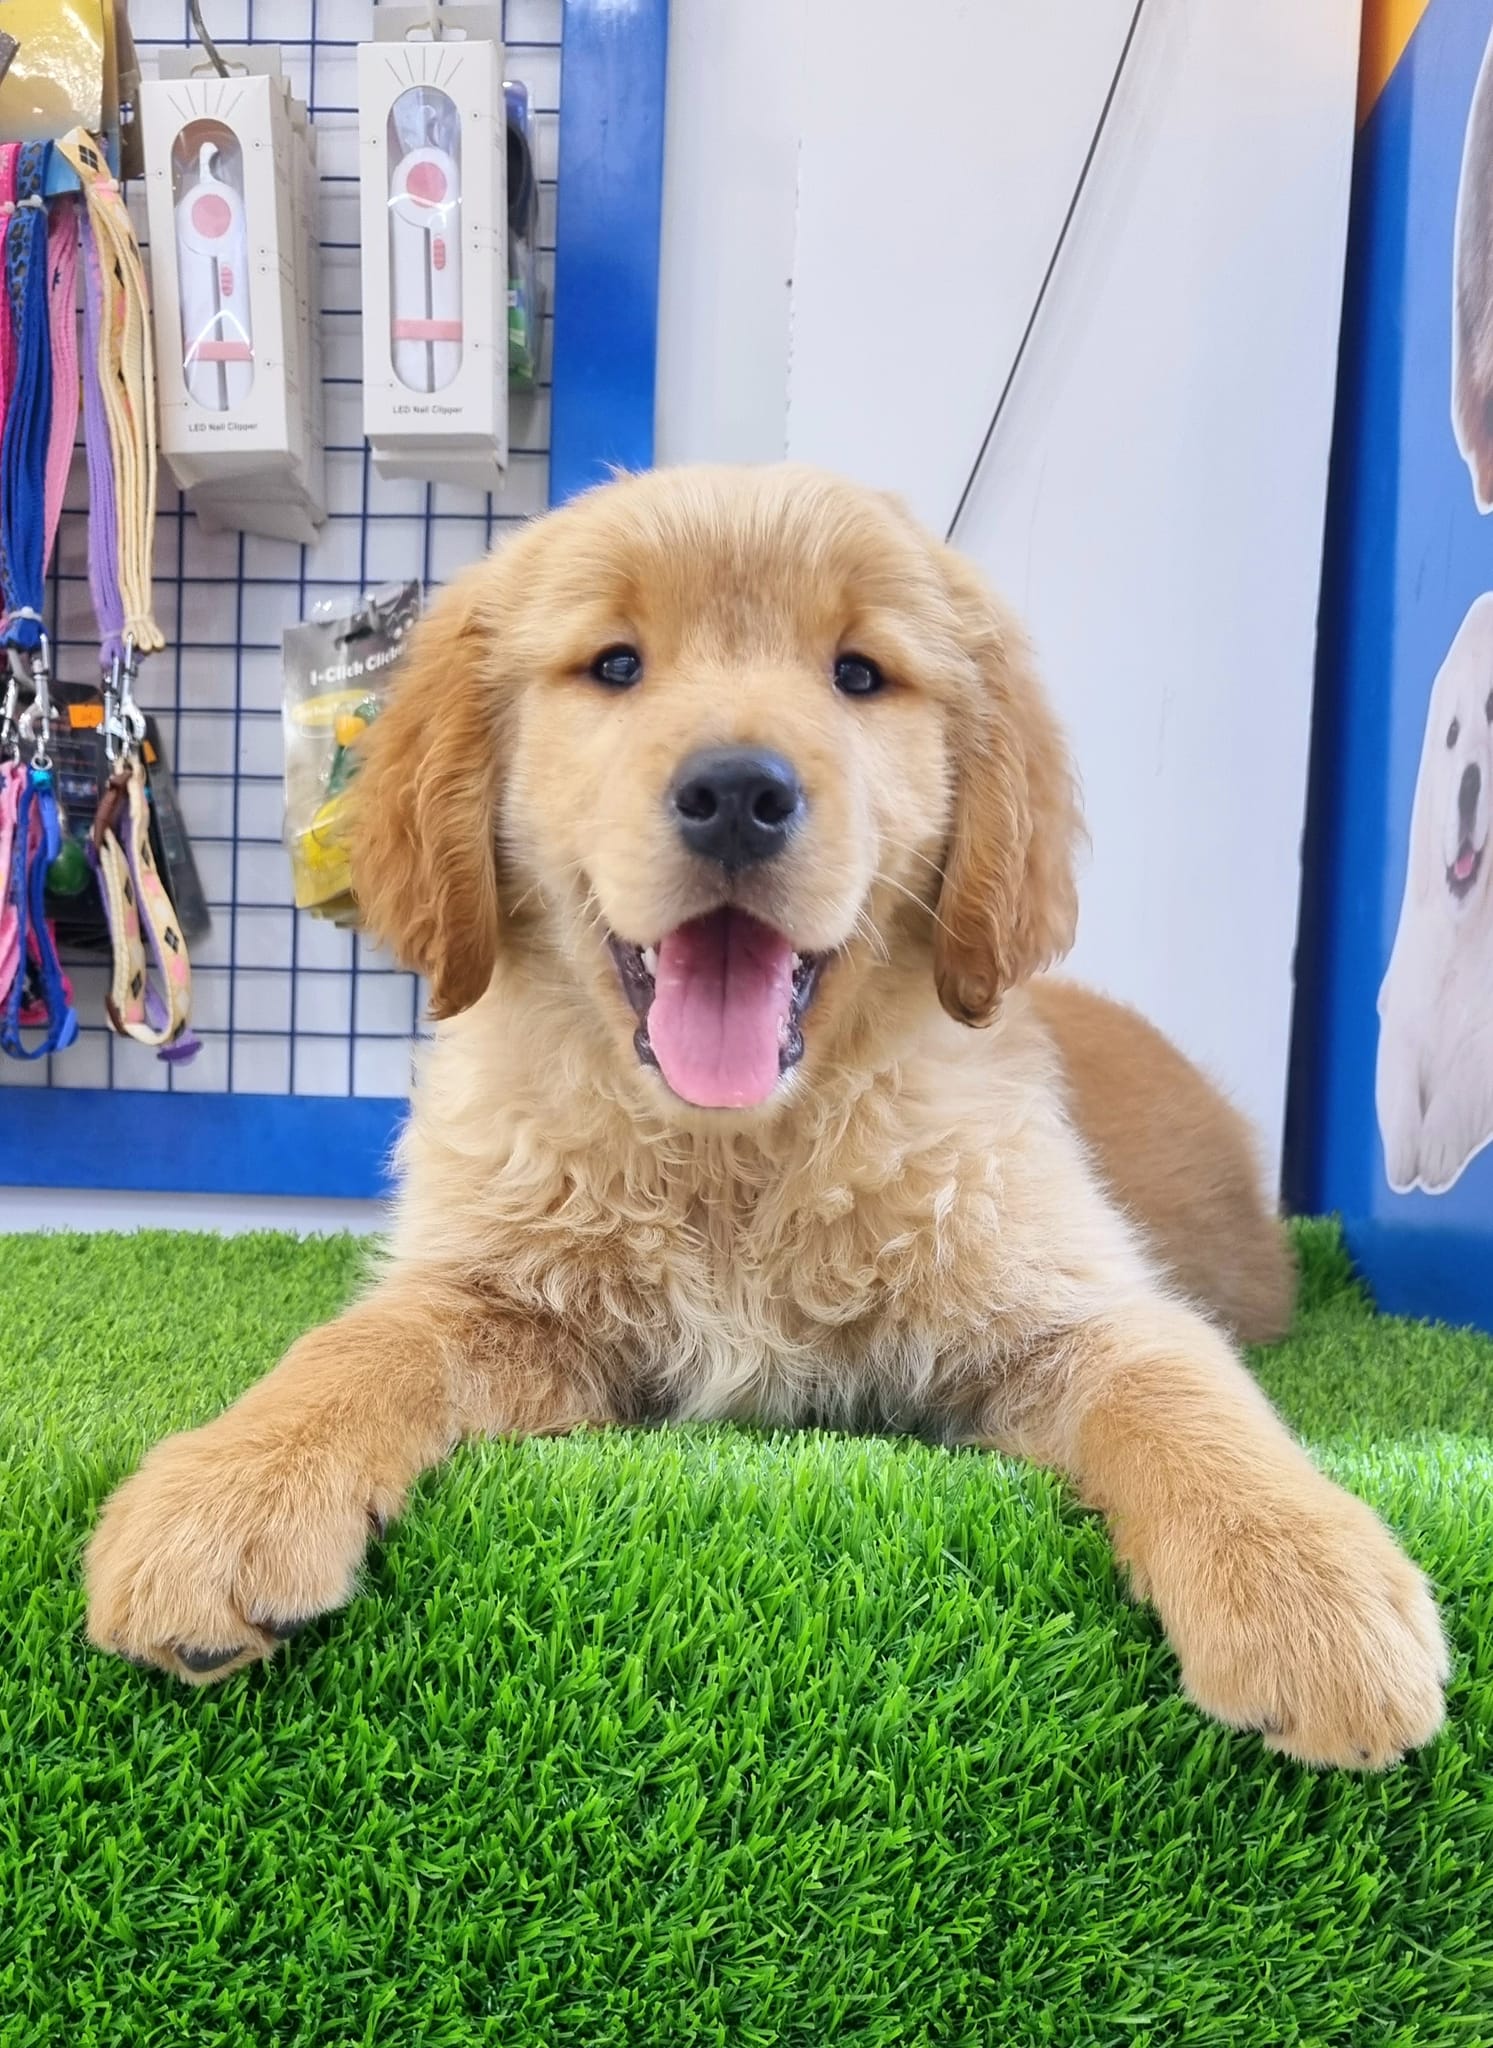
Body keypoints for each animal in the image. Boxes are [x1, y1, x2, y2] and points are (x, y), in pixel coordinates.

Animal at [85, 465, 1447, 1768]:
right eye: (615, 664)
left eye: (857, 674)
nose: (738, 791)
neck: (731, 1150)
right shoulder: (499, 1293)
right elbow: (361, 1346)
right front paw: (224, 1490)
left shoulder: (1067, 1298)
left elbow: (1182, 1393)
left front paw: (1307, 1588)